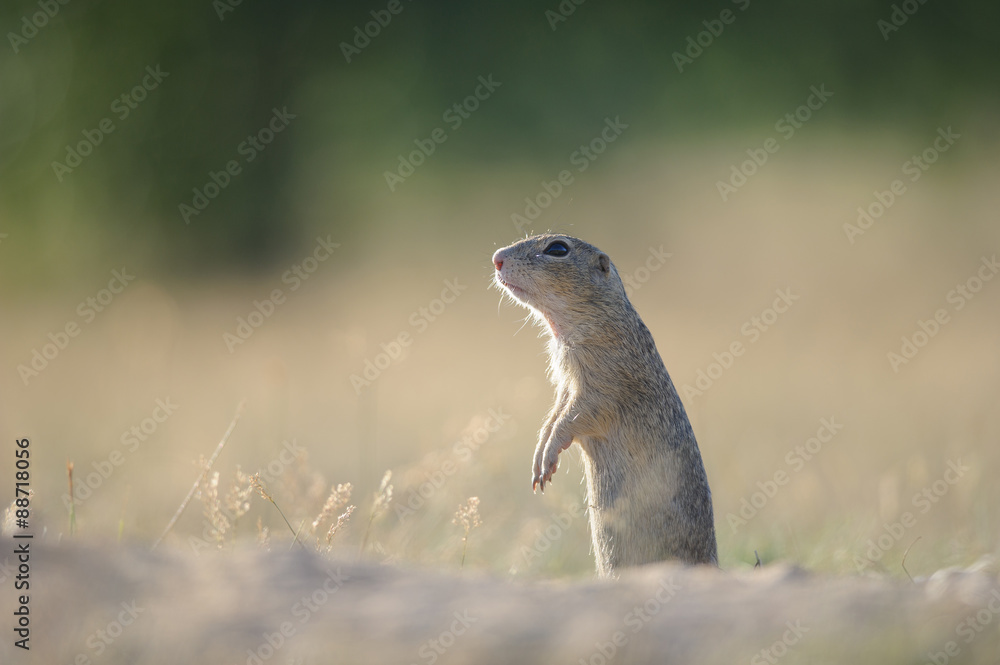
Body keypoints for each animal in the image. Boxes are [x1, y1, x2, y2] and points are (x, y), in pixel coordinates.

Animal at [492, 234, 718, 576]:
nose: (496, 258)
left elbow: (575, 416)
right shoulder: (566, 384)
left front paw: (549, 456)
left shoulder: (602, 383)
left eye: (557, 249)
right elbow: (555, 414)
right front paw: (539, 454)